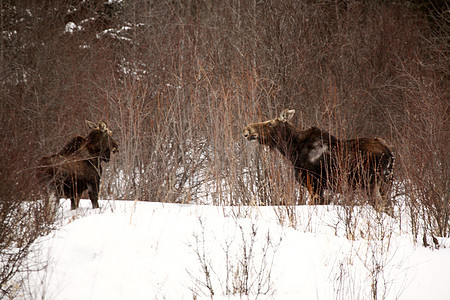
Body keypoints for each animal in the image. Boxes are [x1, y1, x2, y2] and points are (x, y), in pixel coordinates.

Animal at [243, 109, 394, 214]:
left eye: (269, 123)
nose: (247, 130)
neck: (292, 150)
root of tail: (389, 153)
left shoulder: (314, 183)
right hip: (386, 184)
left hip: (371, 183)